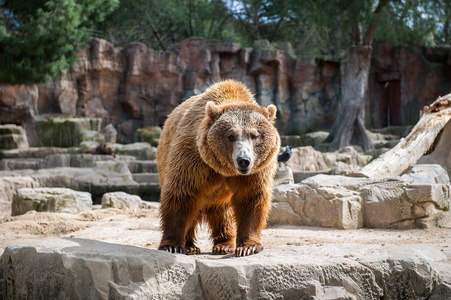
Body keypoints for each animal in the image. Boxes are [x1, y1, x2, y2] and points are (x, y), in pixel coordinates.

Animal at [157, 78, 280, 256]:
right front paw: (171, 245)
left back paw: (224, 244)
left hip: (221, 197)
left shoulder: (257, 170)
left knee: (223, 213)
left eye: (254, 135)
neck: (225, 169)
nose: (244, 160)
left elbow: (251, 198)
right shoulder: (194, 159)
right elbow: (181, 195)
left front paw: (248, 246)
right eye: (231, 136)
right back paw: (190, 246)